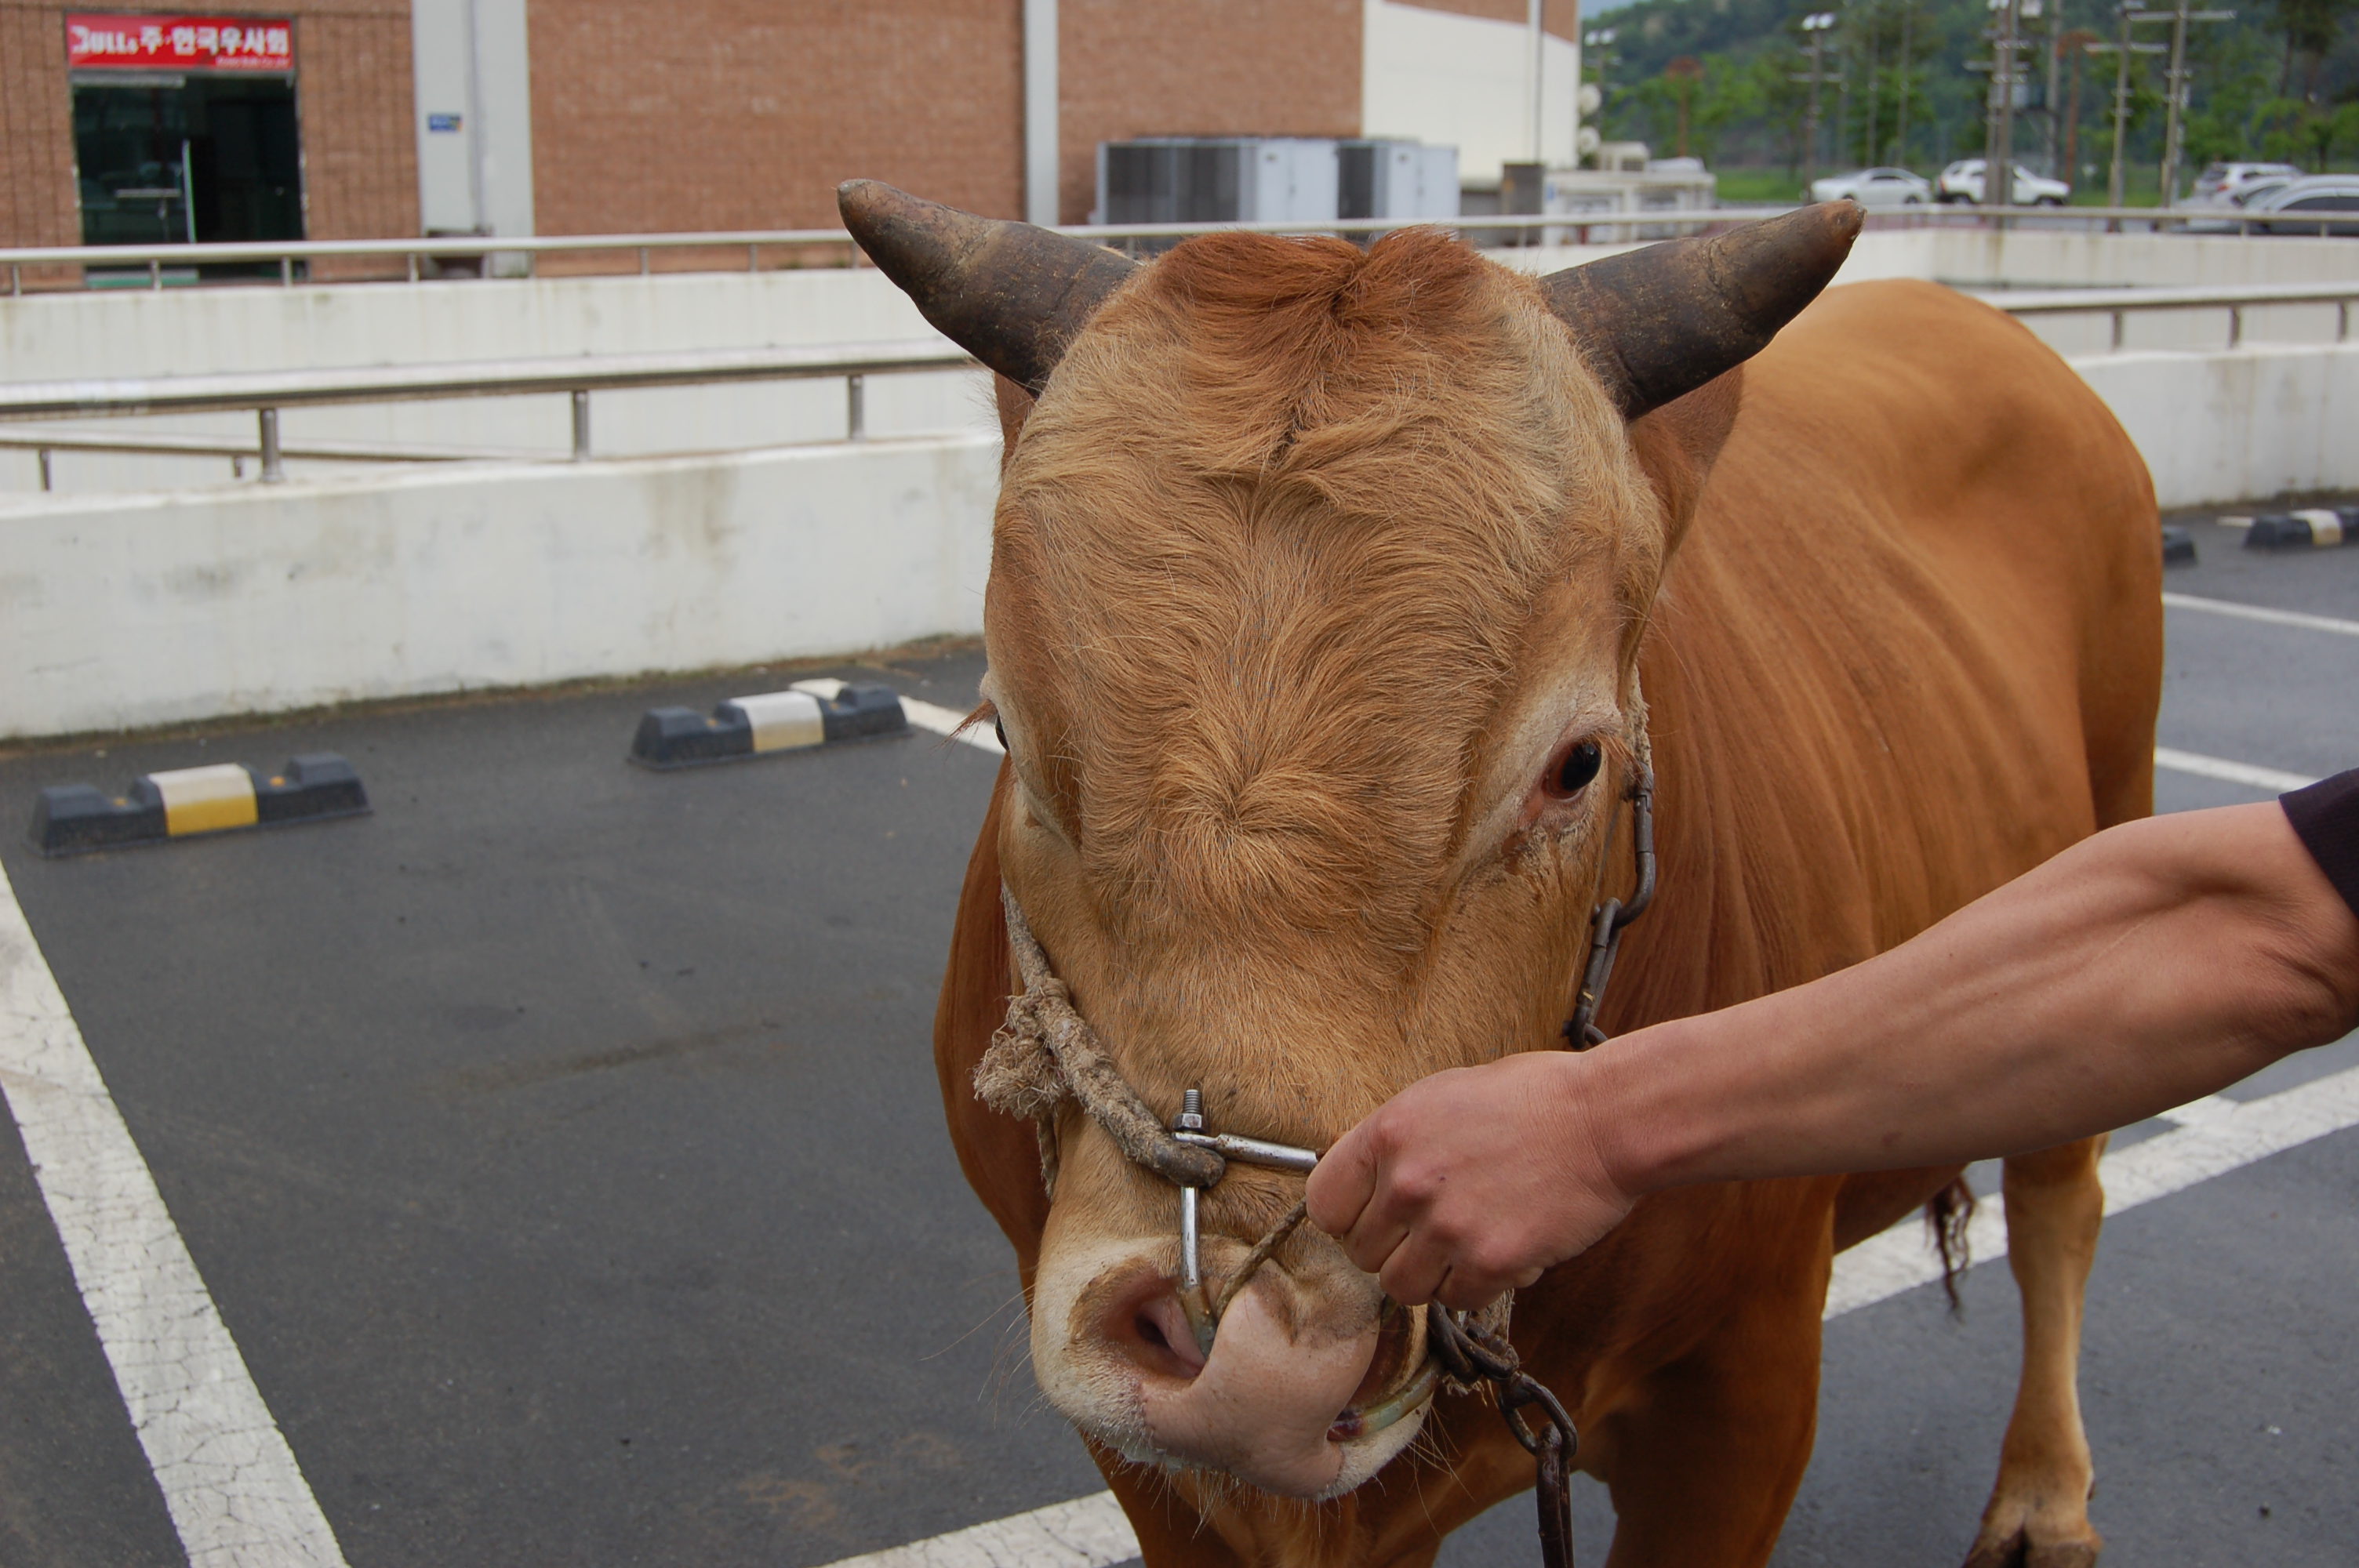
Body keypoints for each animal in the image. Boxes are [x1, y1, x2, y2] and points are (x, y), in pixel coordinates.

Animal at [858, 180, 2161, 1555]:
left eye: (1577, 765)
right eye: (1008, 733)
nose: (1247, 1357)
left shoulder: (1744, 1402)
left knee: (2062, 1200)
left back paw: (2044, 1492)